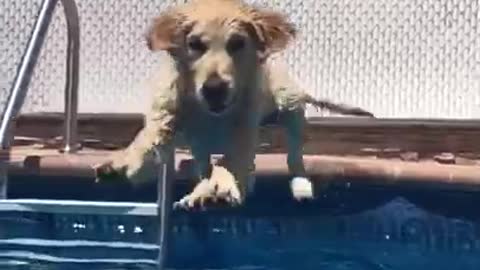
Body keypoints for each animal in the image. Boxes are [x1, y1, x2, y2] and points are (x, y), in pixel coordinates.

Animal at [93, 0, 372, 209]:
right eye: (194, 44)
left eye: (237, 43)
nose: (214, 88)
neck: (212, 113)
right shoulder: (168, 118)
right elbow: (146, 142)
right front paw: (121, 163)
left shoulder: (243, 127)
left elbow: (230, 160)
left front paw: (218, 188)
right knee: (205, 162)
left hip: (290, 105)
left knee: (294, 155)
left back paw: (299, 186)